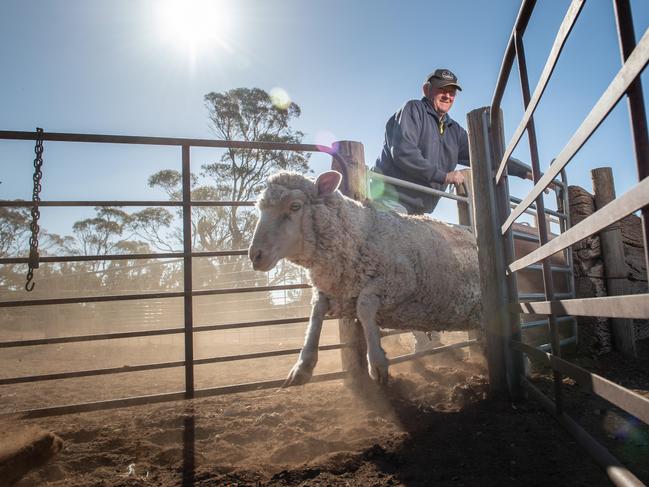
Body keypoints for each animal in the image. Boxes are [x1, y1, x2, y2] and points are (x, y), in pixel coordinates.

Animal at [248, 172, 480, 388]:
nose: (255, 255)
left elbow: (364, 305)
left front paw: (377, 362)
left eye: (295, 206)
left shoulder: (399, 281)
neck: (360, 233)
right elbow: (316, 314)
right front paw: (302, 367)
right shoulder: (332, 289)